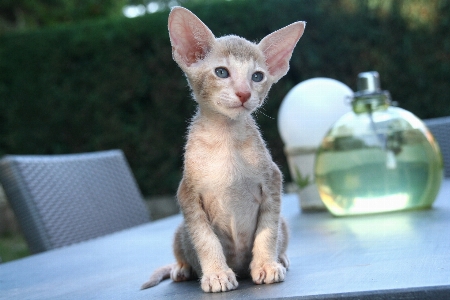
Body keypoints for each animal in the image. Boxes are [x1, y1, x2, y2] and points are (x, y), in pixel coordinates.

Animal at [142, 6, 306, 292]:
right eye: (221, 72)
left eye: (257, 76)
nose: (244, 93)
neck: (226, 139)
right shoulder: (188, 194)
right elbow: (205, 240)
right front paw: (217, 274)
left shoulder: (273, 182)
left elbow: (268, 231)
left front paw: (266, 264)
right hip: (180, 230)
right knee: (182, 248)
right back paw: (182, 269)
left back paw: (281, 257)